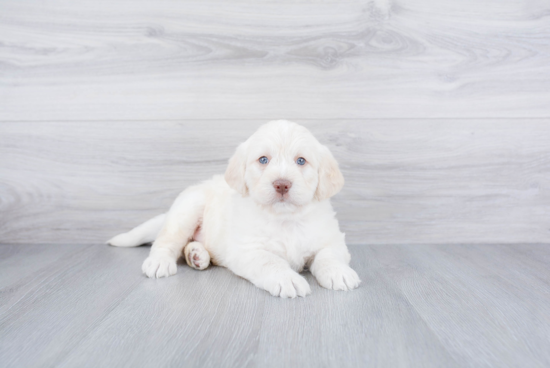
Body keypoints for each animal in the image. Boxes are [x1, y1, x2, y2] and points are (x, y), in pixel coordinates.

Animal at [111, 119, 362, 298]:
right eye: (263, 160)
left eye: (301, 161)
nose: (282, 184)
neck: (285, 219)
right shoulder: (248, 250)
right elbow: (271, 261)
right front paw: (287, 278)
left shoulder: (331, 240)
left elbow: (328, 256)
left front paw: (339, 272)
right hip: (187, 210)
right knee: (167, 241)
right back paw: (160, 261)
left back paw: (196, 255)